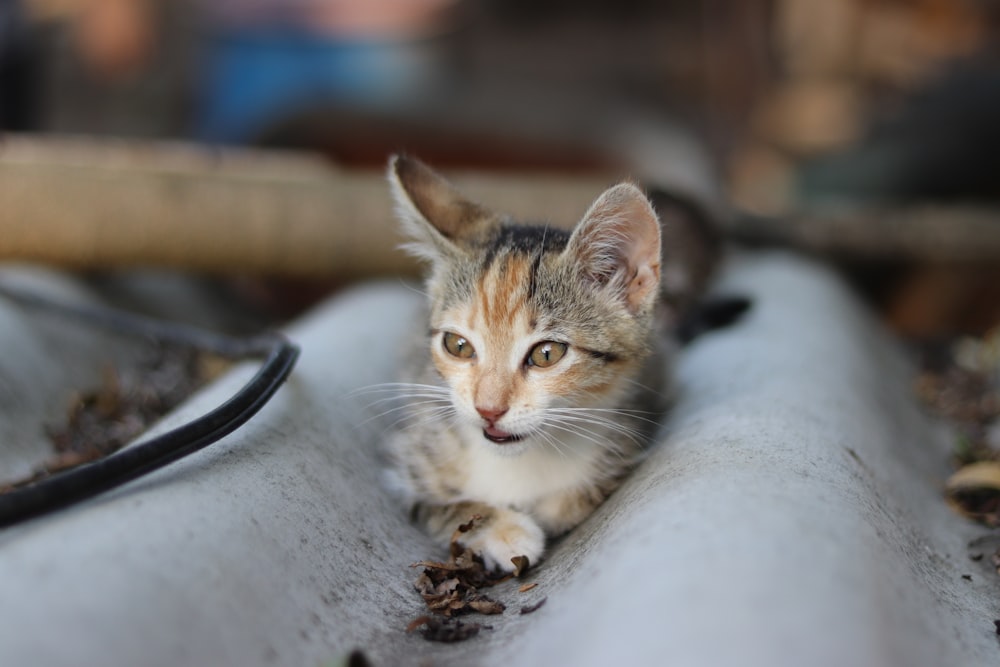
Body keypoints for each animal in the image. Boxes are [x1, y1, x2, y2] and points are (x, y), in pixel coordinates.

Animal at [380, 154, 680, 572]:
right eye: (457, 345)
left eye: (546, 354)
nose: (488, 409)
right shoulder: (404, 463)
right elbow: (438, 506)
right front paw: (504, 530)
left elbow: (577, 498)